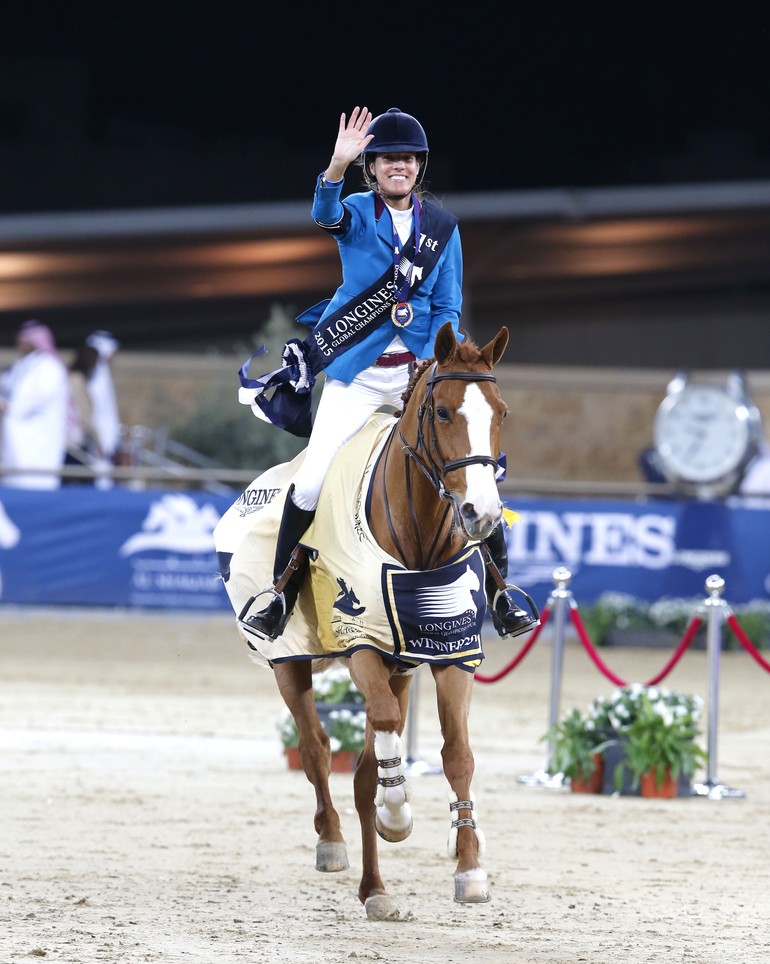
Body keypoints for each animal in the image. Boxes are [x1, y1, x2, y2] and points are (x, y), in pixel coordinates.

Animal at [231, 322, 512, 920]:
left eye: (501, 412)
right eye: (444, 413)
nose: (482, 515)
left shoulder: (452, 654)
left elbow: (458, 755)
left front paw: (469, 864)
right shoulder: (362, 646)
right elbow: (378, 737)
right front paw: (398, 814)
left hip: (402, 667)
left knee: (361, 769)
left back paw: (375, 890)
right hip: (289, 660)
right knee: (316, 746)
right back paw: (334, 842)